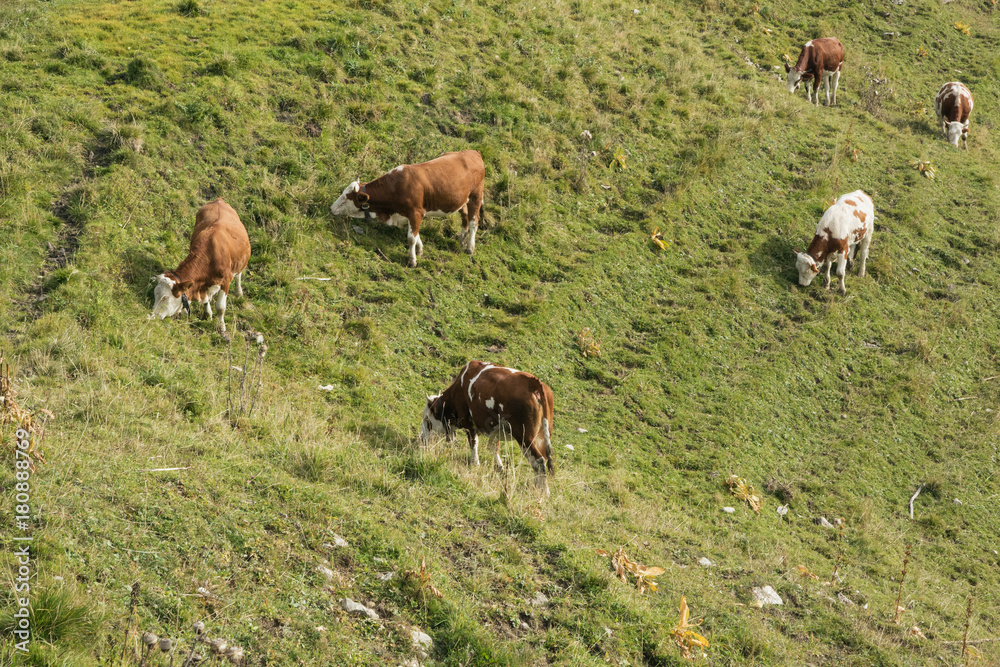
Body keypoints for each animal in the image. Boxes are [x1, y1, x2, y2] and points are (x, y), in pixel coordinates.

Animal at [149, 198, 251, 333]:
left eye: (165, 297)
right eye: (155, 293)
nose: (153, 316)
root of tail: (219, 200)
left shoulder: (226, 281)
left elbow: (220, 307)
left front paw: (221, 326)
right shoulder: (203, 285)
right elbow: (206, 300)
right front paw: (208, 314)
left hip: (240, 262)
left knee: (239, 275)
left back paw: (239, 292)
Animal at [330, 150, 486, 267]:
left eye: (345, 200)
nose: (331, 209)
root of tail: (474, 152)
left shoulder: (415, 212)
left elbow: (411, 238)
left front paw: (412, 260)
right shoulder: (412, 214)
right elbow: (416, 235)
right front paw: (420, 250)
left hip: (476, 196)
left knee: (473, 221)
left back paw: (470, 247)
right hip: (462, 199)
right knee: (465, 217)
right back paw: (462, 240)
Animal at [420, 361, 555, 498]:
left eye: (427, 420)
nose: (422, 439)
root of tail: (534, 383)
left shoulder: (469, 423)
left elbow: (473, 443)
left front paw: (475, 464)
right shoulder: (495, 429)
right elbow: (494, 447)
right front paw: (499, 468)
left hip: (524, 436)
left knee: (538, 460)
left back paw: (544, 491)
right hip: (542, 435)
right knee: (542, 460)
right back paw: (537, 486)